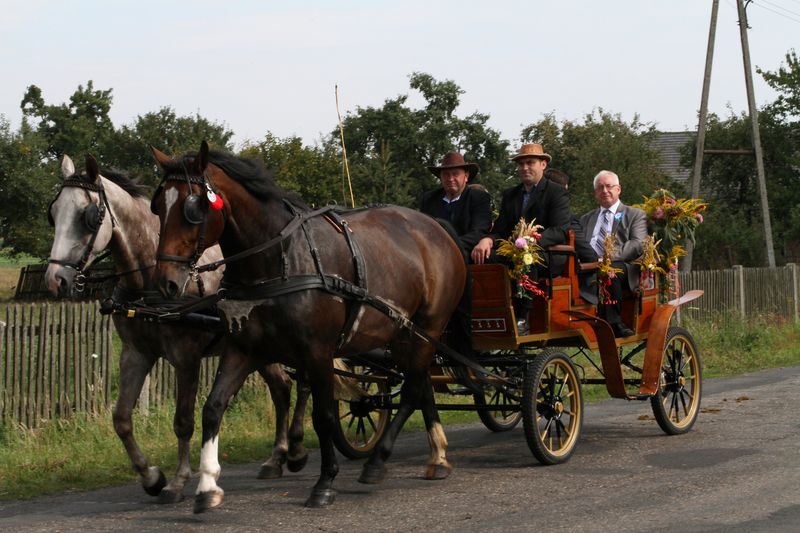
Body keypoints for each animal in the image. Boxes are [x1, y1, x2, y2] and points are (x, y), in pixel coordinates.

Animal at [44, 155, 312, 502]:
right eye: (53, 213)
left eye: (87, 216)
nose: (55, 280)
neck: (147, 283)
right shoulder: (135, 354)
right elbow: (121, 419)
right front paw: (151, 477)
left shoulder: (186, 357)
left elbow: (183, 421)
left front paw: (178, 480)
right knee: (282, 387)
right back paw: (276, 457)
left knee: (303, 383)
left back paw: (296, 449)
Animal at [150, 140, 466, 508]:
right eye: (159, 206)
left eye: (193, 208)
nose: (167, 282)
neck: (281, 259)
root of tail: (436, 228)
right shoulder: (244, 348)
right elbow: (213, 408)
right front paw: (208, 487)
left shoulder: (317, 352)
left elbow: (325, 415)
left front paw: (325, 482)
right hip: (402, 333)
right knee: (421, 384)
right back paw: (437, 456)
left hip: (427, 327)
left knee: (413, 388)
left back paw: (378, 461)